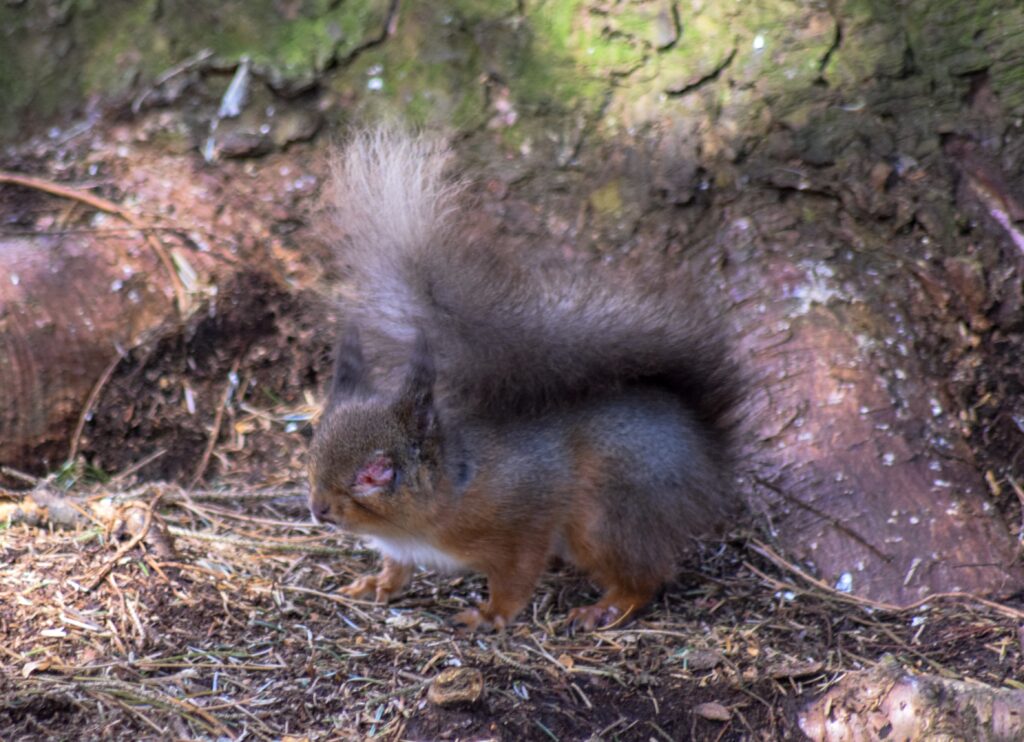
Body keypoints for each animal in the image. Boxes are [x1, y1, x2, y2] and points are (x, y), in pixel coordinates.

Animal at [307, 130, 741, 626]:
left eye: (378, 472)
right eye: (311, 449)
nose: (318, 508)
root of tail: (709, 451)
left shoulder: (520, 524)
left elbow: (515, 576)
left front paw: (490, 615)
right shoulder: (402, 547)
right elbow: (397, 567)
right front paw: (376, 584)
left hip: (609, 515)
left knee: (644, 578)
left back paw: (605, 608)